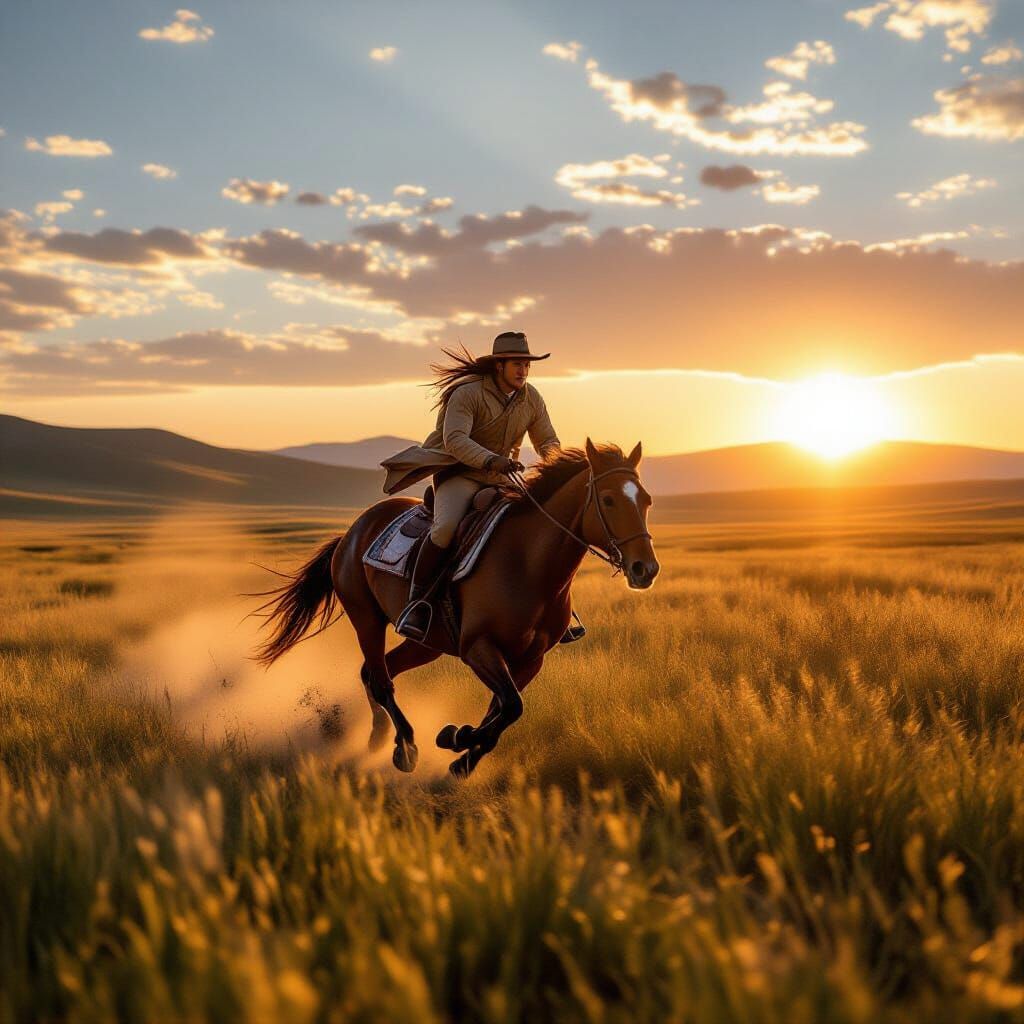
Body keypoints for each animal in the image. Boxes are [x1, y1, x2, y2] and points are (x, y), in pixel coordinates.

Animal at [252, 439, 660, 777]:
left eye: (646, 500)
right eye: (608, 499)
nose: (645, 569)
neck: (528, 563)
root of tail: (352, 531)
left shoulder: (531, 659)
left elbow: (503, 710)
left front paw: (461, 750)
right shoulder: (478, 648)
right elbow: (510, 706)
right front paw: (457, 739)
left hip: (426, 643)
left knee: (376, 672)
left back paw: (378, 738)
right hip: (366, 619)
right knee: (380, 680)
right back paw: (405, 747)